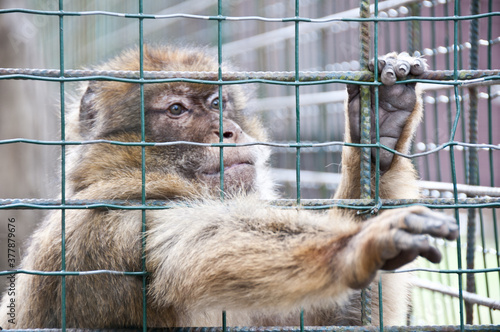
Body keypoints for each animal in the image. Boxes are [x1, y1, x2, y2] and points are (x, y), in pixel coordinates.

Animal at [0, 45, 458, 328]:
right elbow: (197, 245)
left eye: (218, 103)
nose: (228, 131)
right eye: (177, 109)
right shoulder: (126, 217)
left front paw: (379, 129)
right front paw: (356, 245)